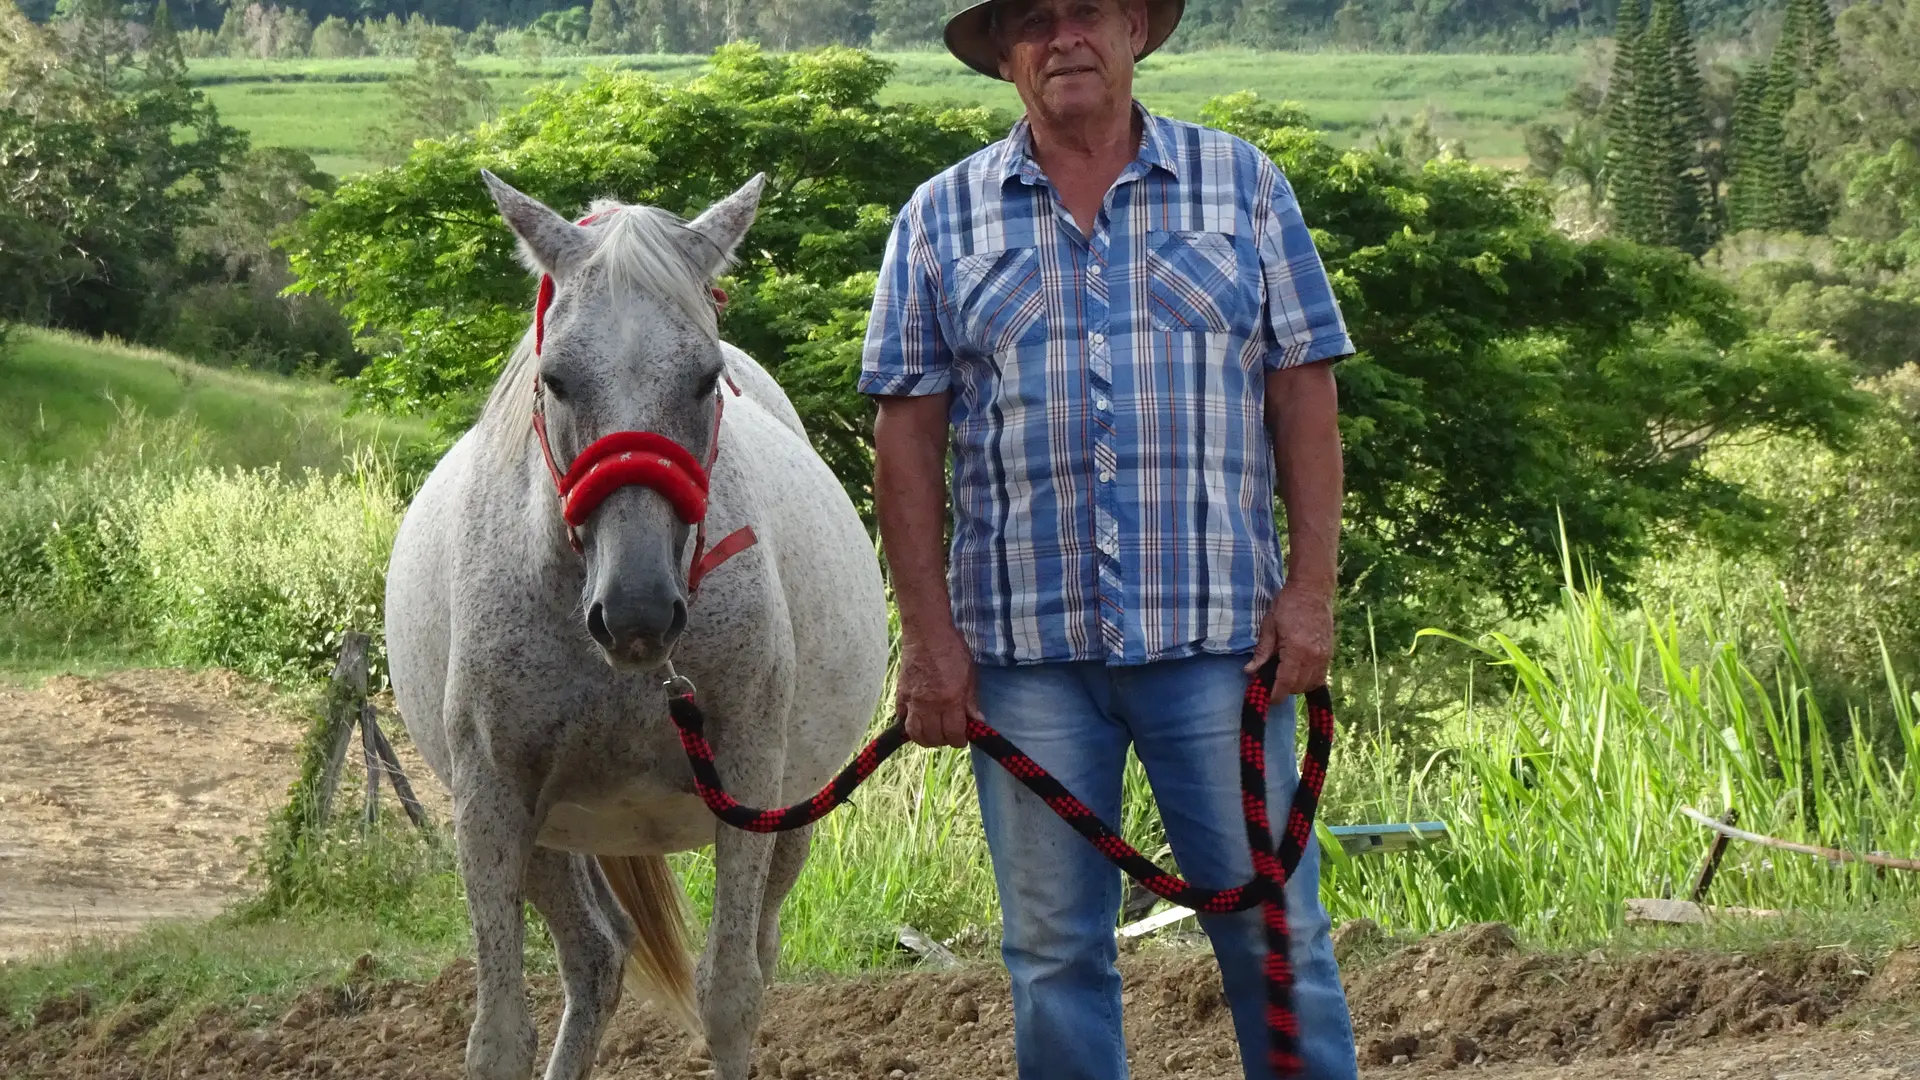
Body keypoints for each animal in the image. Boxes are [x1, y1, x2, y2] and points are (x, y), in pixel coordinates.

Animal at [391, 170, 898, 1076]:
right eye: (556, 379)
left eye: (705, 378)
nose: (636, 611)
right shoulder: (490, 805)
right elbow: (498, 1034)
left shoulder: (748, 784)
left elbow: (730, 999)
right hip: (551, 838)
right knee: (595, 957)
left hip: (789, 816)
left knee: (746, 954)